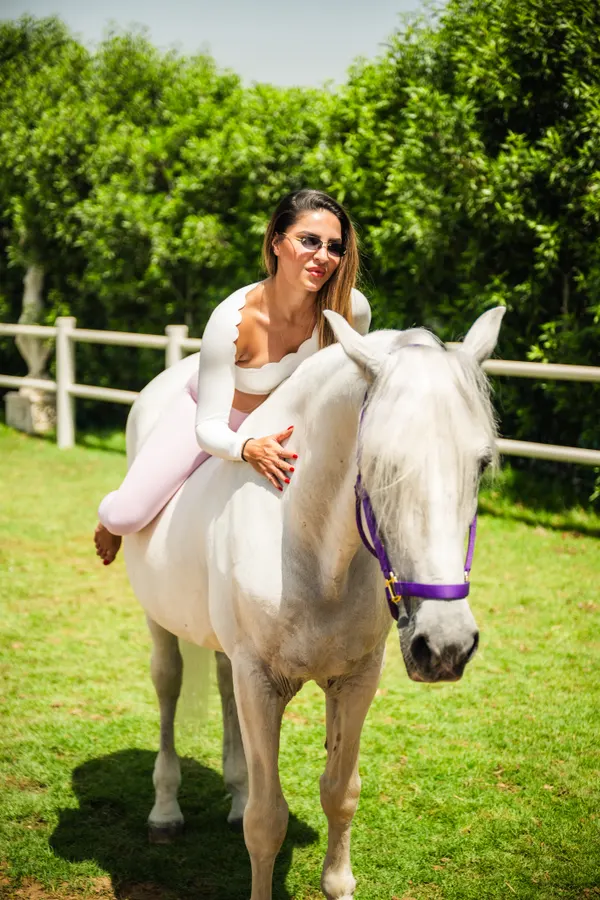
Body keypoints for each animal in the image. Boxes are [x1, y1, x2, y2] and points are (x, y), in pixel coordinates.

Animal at [123, 306, 504, 900]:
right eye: (380, 460)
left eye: (482, 463)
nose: (445, 645)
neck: (307, 549)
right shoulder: (260, 682)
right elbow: (267, 821)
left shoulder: (355, 681)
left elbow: (340, 793)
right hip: (159, 623)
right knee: (168, 688)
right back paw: (165, 812)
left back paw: (234, 793)